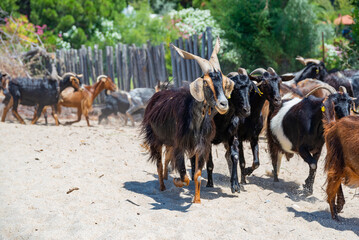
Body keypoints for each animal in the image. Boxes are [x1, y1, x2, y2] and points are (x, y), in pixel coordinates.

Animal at [142, 37, 235, 202]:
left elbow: (197, 175)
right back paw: (162, 186)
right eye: (206, 83)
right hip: (156, 138)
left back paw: (166, 178)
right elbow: (184, 176)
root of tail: (158, 93)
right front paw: (176, 181)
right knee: (159, 163)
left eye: (224, 82)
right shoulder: (180, 145)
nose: (223, 104)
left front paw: (197, 200)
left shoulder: (202, 146)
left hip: (169, 142)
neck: (195, 121)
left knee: (166, 159)